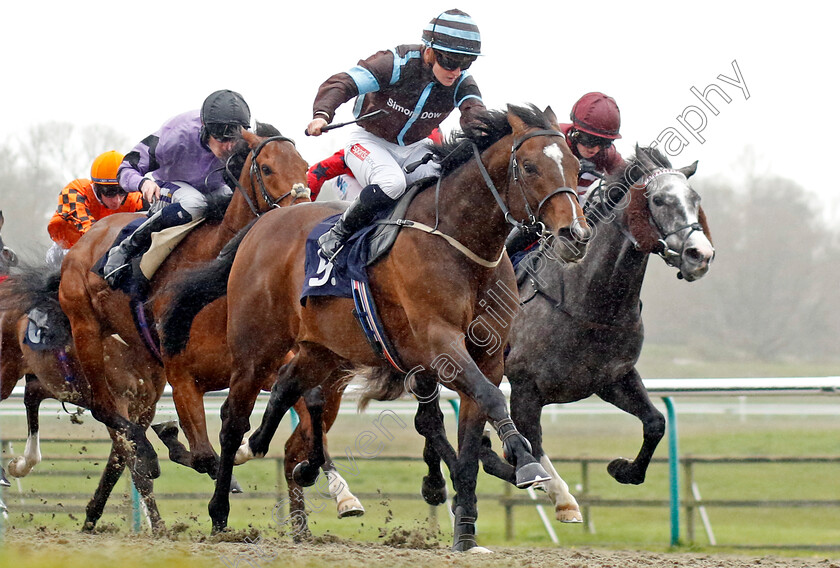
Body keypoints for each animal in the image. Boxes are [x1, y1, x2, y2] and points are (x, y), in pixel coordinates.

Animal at [162, 104, 592, 548]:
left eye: (575, 166)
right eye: (530, 167)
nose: (575, 234)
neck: (460, 245)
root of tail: (262, 224)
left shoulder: (485, 357)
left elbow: (473, 433)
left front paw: (467, 532)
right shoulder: (439, 345)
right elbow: (489, 400)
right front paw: (527, 464)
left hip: (322, 349)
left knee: (288, 388)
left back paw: (276, 455)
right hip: (256, 346)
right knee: (233, 419)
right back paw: (220, 512)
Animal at [470, 145, 712, 524]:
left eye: (695, 198)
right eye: (659, 200)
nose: (700, 254)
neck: (590, 304)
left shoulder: (612, 378)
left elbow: (656, 422)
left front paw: (624, 469)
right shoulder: (526, 387)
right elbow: (533, 443)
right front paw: (563, 500)